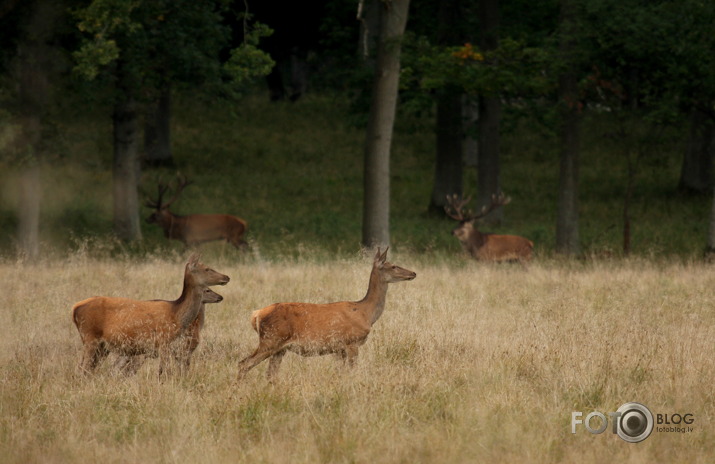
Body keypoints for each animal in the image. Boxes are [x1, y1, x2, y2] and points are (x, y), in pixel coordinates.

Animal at [70, 252, 229, 376]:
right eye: (207, 268)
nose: (226, 277)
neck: (176, 314)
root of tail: (74, 308)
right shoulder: (164, 342)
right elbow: (164, 372)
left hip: (103, 346)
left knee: (91, 369)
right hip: (90, 337)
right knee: (83, 369)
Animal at [236, 246, 414, 380]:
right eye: (393, 266)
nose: (413, 273)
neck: (366, 313)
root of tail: (256, 314)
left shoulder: (339, 349)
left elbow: (341, 374)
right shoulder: (352, 342)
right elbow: (352, 372)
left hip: (279, 348)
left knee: (270, 374)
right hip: (271, 339)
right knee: (244, 363)